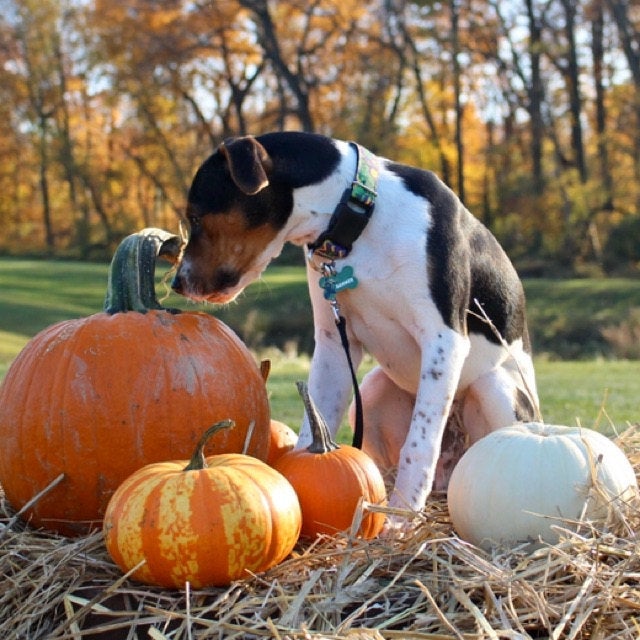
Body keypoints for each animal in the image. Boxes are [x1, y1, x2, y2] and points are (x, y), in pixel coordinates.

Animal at [171, 131, 540, 524]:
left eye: (195, 216)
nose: (177, 282)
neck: (360, 219)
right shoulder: (334, 343)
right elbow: (313, 424)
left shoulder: (444, 339)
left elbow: (419, 444)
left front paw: (400, 518)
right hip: (374, 389)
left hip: (494, 389)